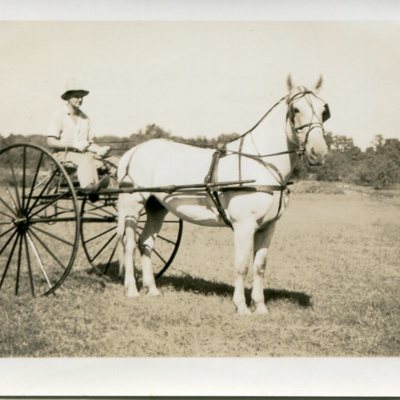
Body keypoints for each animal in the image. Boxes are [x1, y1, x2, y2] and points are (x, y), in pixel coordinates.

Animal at [117, 76, 330, 314]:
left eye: (324, 110)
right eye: (296, 109)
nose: (319, 152)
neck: (261, 164)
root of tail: (132, 152)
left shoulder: (267, 227)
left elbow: (259, 266)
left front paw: (260, 307)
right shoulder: (244, 225)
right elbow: (242, 265)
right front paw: (242, 307)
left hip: (156, 208)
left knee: (146, 243)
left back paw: (152, 289)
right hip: (132, 205)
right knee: (129, 244)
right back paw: (132, 289)